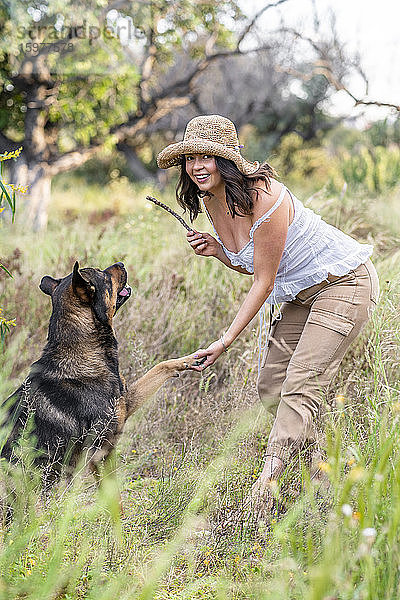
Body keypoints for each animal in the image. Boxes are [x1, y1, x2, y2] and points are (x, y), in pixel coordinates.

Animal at [0, 262, 198, 488]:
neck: (83, 351)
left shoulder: (125, 403)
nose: (121, 263)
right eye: (103, 275)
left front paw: (190, 360)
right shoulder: (101, 450)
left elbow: (159, 367)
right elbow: (113, 495)